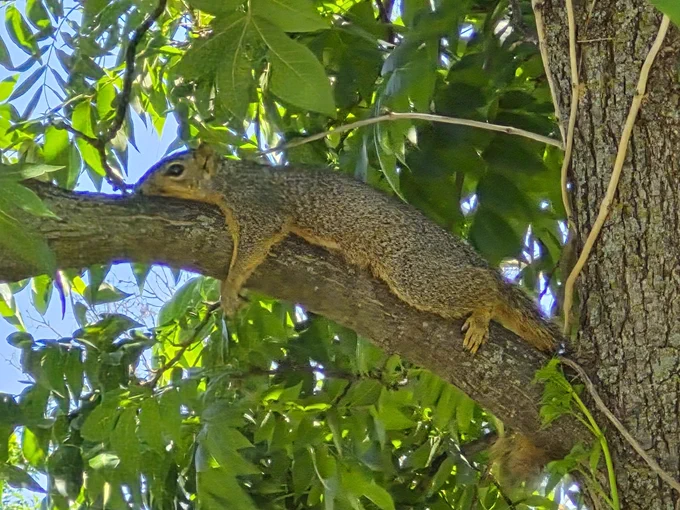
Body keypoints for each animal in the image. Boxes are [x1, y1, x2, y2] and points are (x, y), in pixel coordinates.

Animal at [136, 144, 562, 355]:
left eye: (175, 170)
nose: (140, 188)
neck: (228, 180)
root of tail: (460, 252)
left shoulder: (258, 207)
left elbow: (253, 244)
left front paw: (229, 287)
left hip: (414, 269)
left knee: (483, 287)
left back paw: (481, 312)